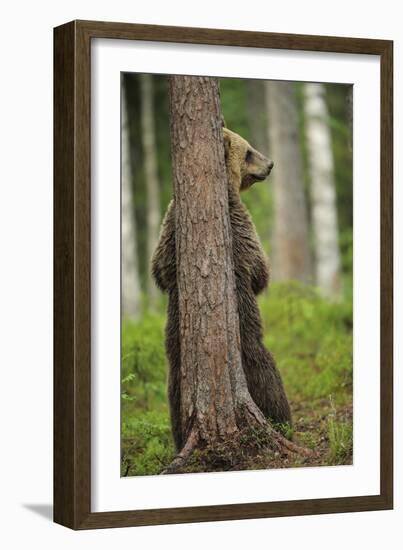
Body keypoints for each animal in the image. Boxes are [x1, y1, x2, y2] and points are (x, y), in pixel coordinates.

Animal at [153, 128, 292, 452]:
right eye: (250, 151)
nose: (271, 164)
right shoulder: (239, 223)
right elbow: (259, 269)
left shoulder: (168, 227)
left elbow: (159, 270)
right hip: (249, 343)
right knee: (268, 375)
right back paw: (283, 421)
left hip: (175, 360)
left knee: (174, 395)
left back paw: (180, 436)